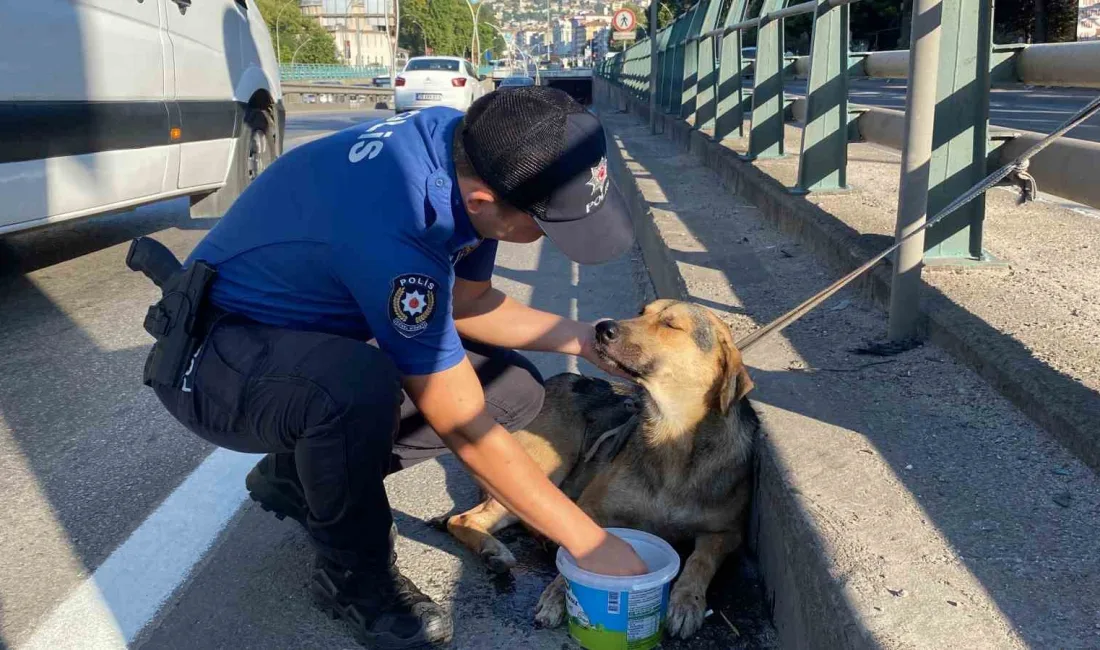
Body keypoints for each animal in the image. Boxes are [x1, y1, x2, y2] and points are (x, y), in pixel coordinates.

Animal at [446, 299, 756, 642]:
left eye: (670, 325)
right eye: (641, 311)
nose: (602, 328)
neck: (672, 436)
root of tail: (556, 380)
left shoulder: (726, 533)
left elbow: (700, 561)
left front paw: (687, 600)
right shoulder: (591, 507)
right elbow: (583, 549)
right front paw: (559, 594)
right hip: (539, 467)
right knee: (462, 519)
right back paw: (495, 551)